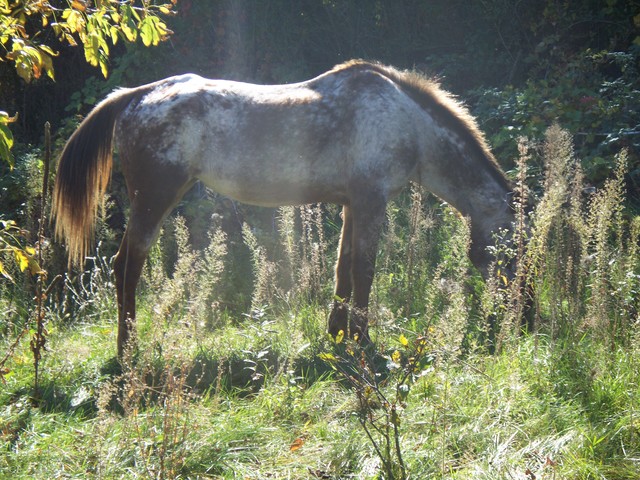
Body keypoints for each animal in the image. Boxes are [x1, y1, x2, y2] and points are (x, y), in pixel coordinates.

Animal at [52, 60, 516, 358]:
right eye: (515, 250)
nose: (521, 315)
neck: (407, 121)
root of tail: (136, 96)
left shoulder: (353, 204)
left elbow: (344, 269)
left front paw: (337, 334)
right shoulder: (371, 201)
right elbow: (364, 271)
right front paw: (362, 340)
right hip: (154, 199)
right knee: (126, 266)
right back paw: (128, 350)